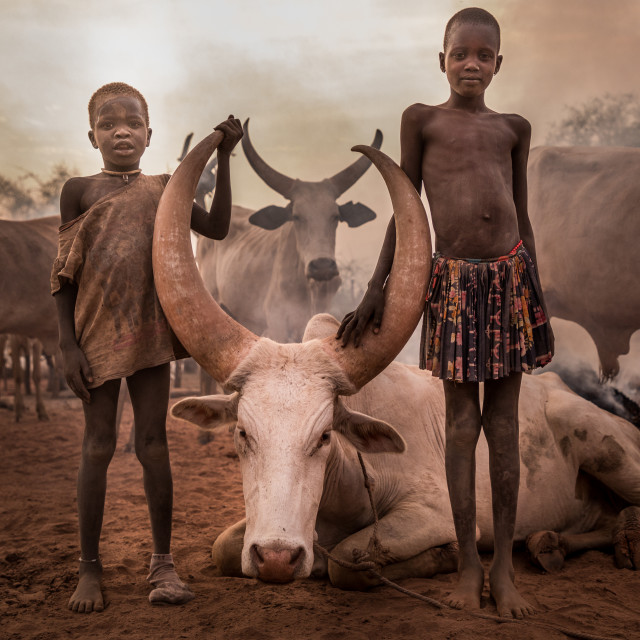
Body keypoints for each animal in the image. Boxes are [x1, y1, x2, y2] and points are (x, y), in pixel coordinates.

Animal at [172, 316, 640, 592]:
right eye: (242, 433)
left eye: (324, 436)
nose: (277, 557)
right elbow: (223, 548)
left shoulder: (435, 510)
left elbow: (349, 559)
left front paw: (446, 555)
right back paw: (550, 543)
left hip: (602, 443)